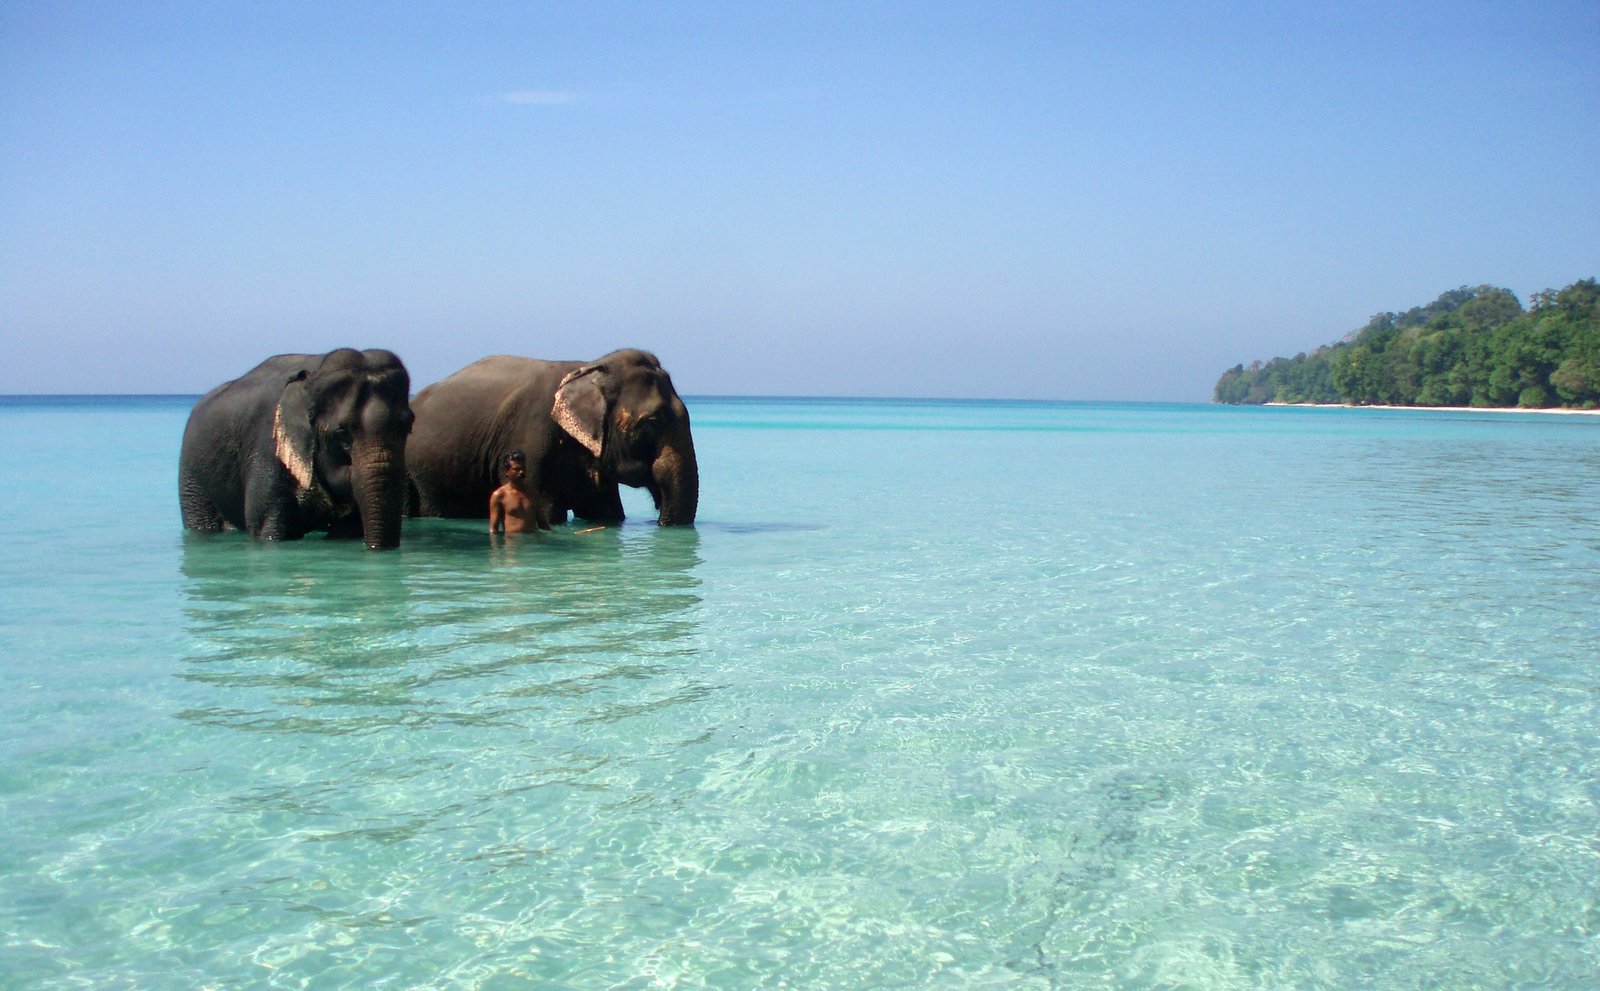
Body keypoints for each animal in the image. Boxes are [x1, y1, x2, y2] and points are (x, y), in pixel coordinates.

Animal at [179, 349, 414, 549]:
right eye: (342, 433)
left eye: (408, 426)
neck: (315, 372)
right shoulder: (268, 449)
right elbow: (268, 528)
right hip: (192, 479)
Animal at [407, 349, 698, 527]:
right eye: (653, 421)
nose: (658, 521)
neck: (589, 369)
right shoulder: (532, 441)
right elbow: (547, 511)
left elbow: (605, 512)